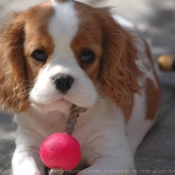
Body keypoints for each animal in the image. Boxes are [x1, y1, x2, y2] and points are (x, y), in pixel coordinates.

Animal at [0, 0, 161, 175]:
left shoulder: (116, 156)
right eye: (39, 54)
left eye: (87, 55)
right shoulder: (26, 147)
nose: (63, 80)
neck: (62, 115)